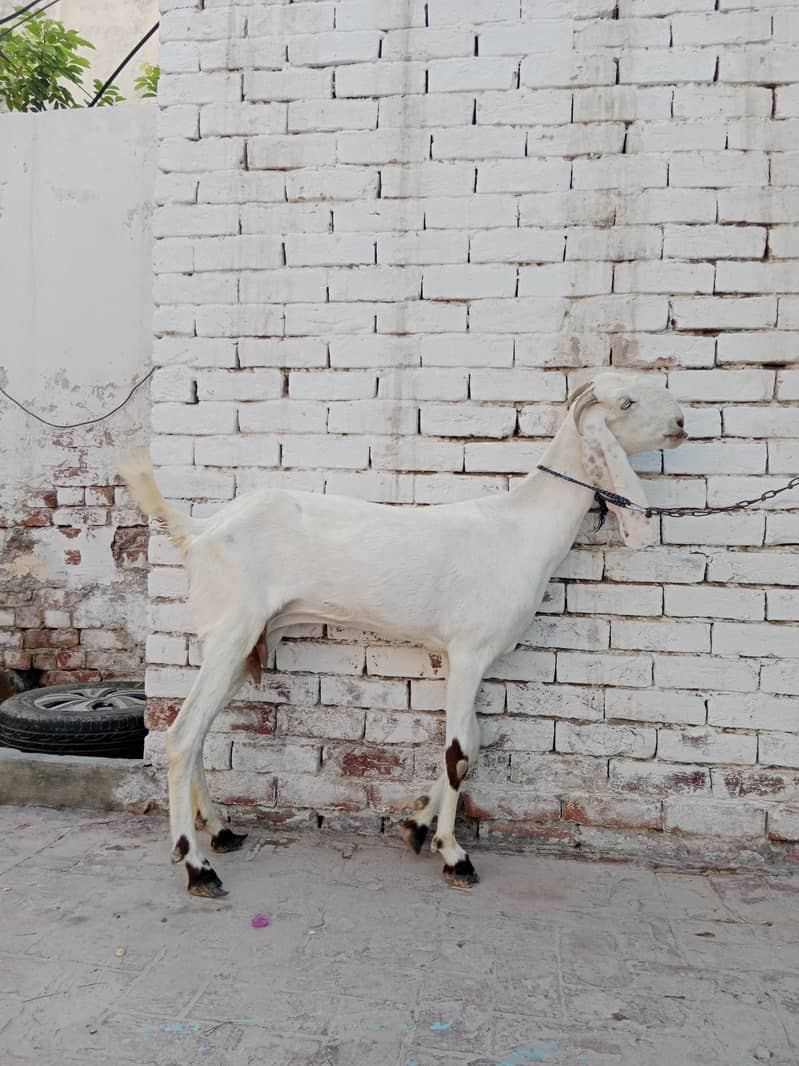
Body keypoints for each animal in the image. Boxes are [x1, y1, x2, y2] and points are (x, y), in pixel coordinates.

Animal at [121, 370, 686, 897]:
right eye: (626, 402)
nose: (681, 424)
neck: (520, 526)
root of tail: (198, 532)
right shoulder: (469, 651)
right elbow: (460, 752)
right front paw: (454, 855)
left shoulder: (465, 658)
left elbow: (470, 745)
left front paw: (415, 827)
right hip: (232, 630)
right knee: (181, 735)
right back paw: (197, 867)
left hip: (247, 642)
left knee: (197, 733)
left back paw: (221, 832)